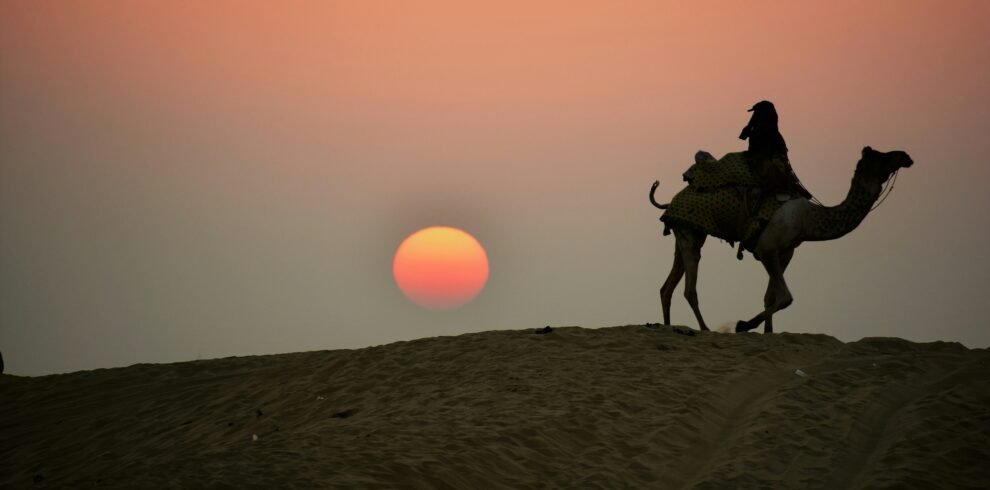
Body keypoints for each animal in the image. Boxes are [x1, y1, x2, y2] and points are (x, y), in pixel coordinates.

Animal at [649, 146, 913, 334]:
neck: (808, 218)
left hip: (685, 232)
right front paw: (743, 325)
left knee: (667, 286)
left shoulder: (786, 252)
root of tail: (671, 200)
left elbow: (770, 297)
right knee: (689, 287)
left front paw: (769, 333)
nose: (906, 156)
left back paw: (668, 327)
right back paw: (703, 329)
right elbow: (786, 297)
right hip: (690, 235)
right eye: (881, 156)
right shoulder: (766, 249)